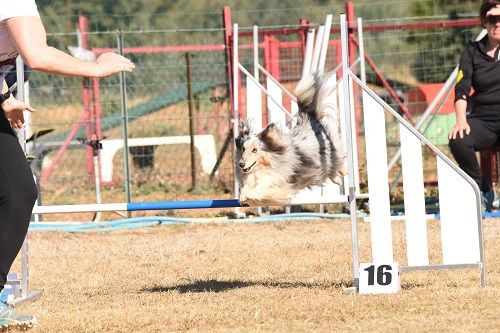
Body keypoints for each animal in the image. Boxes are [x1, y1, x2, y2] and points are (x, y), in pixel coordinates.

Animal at [235, 71, 346, 205]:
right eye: (243, 149)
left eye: (255, 150)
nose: (241, 164)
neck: (263, 168)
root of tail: (307, 119)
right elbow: (246, 187)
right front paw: (243, 195)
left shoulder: (278, 182)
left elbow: (262, 188)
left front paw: (250, 194)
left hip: (330, 153)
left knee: (337, 161)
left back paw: (340, 176)